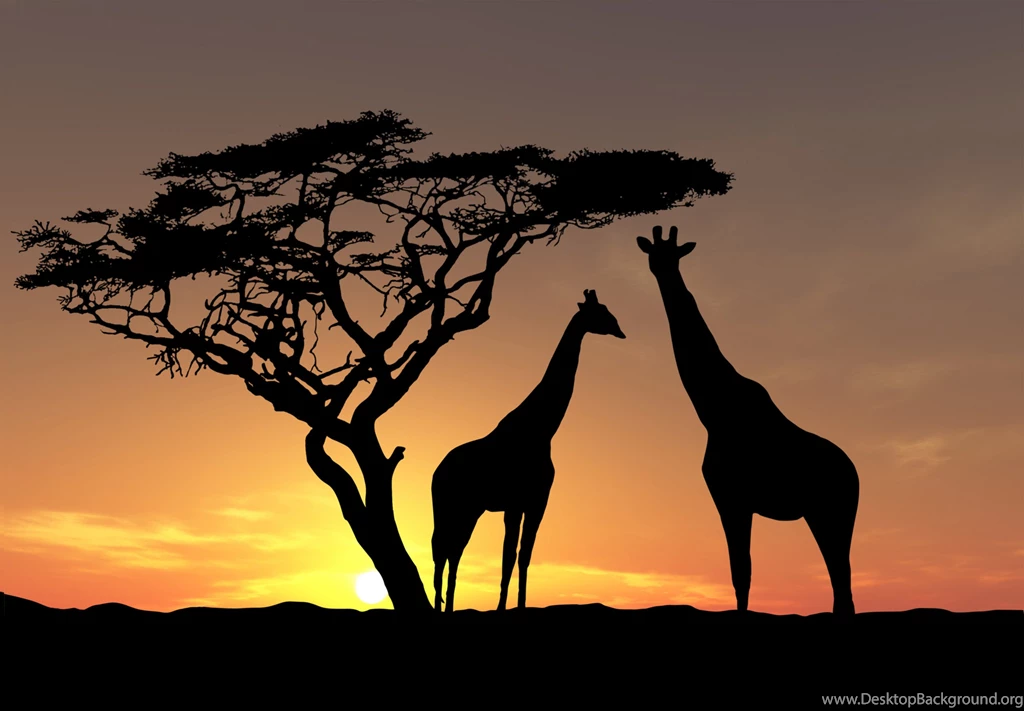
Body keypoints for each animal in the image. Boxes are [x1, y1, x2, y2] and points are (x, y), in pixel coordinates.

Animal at [430, 289, 626, 612]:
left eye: (609, 311)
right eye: (601, 313)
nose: (621, 330)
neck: (542, 429)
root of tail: (436, 471)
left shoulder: (536, 501)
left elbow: (524, 556)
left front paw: (519, 606)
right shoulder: (515, 502)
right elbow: (509, 556)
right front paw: (501, 608)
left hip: (469, 509)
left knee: (451, 550)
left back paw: (446, 605)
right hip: (451, 505)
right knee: (443, 548)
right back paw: (441, 606)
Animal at [637, 225, 859, 616]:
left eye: (674, 254)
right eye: (654, 253)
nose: (662, 270)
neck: (714, 411)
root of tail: (856, 476)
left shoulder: (732, 496)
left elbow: (741, 571)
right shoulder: (730, 497)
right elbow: (741, 573)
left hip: (833, 512)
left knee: (841, 581)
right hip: (823, 514)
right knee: (841, 584)